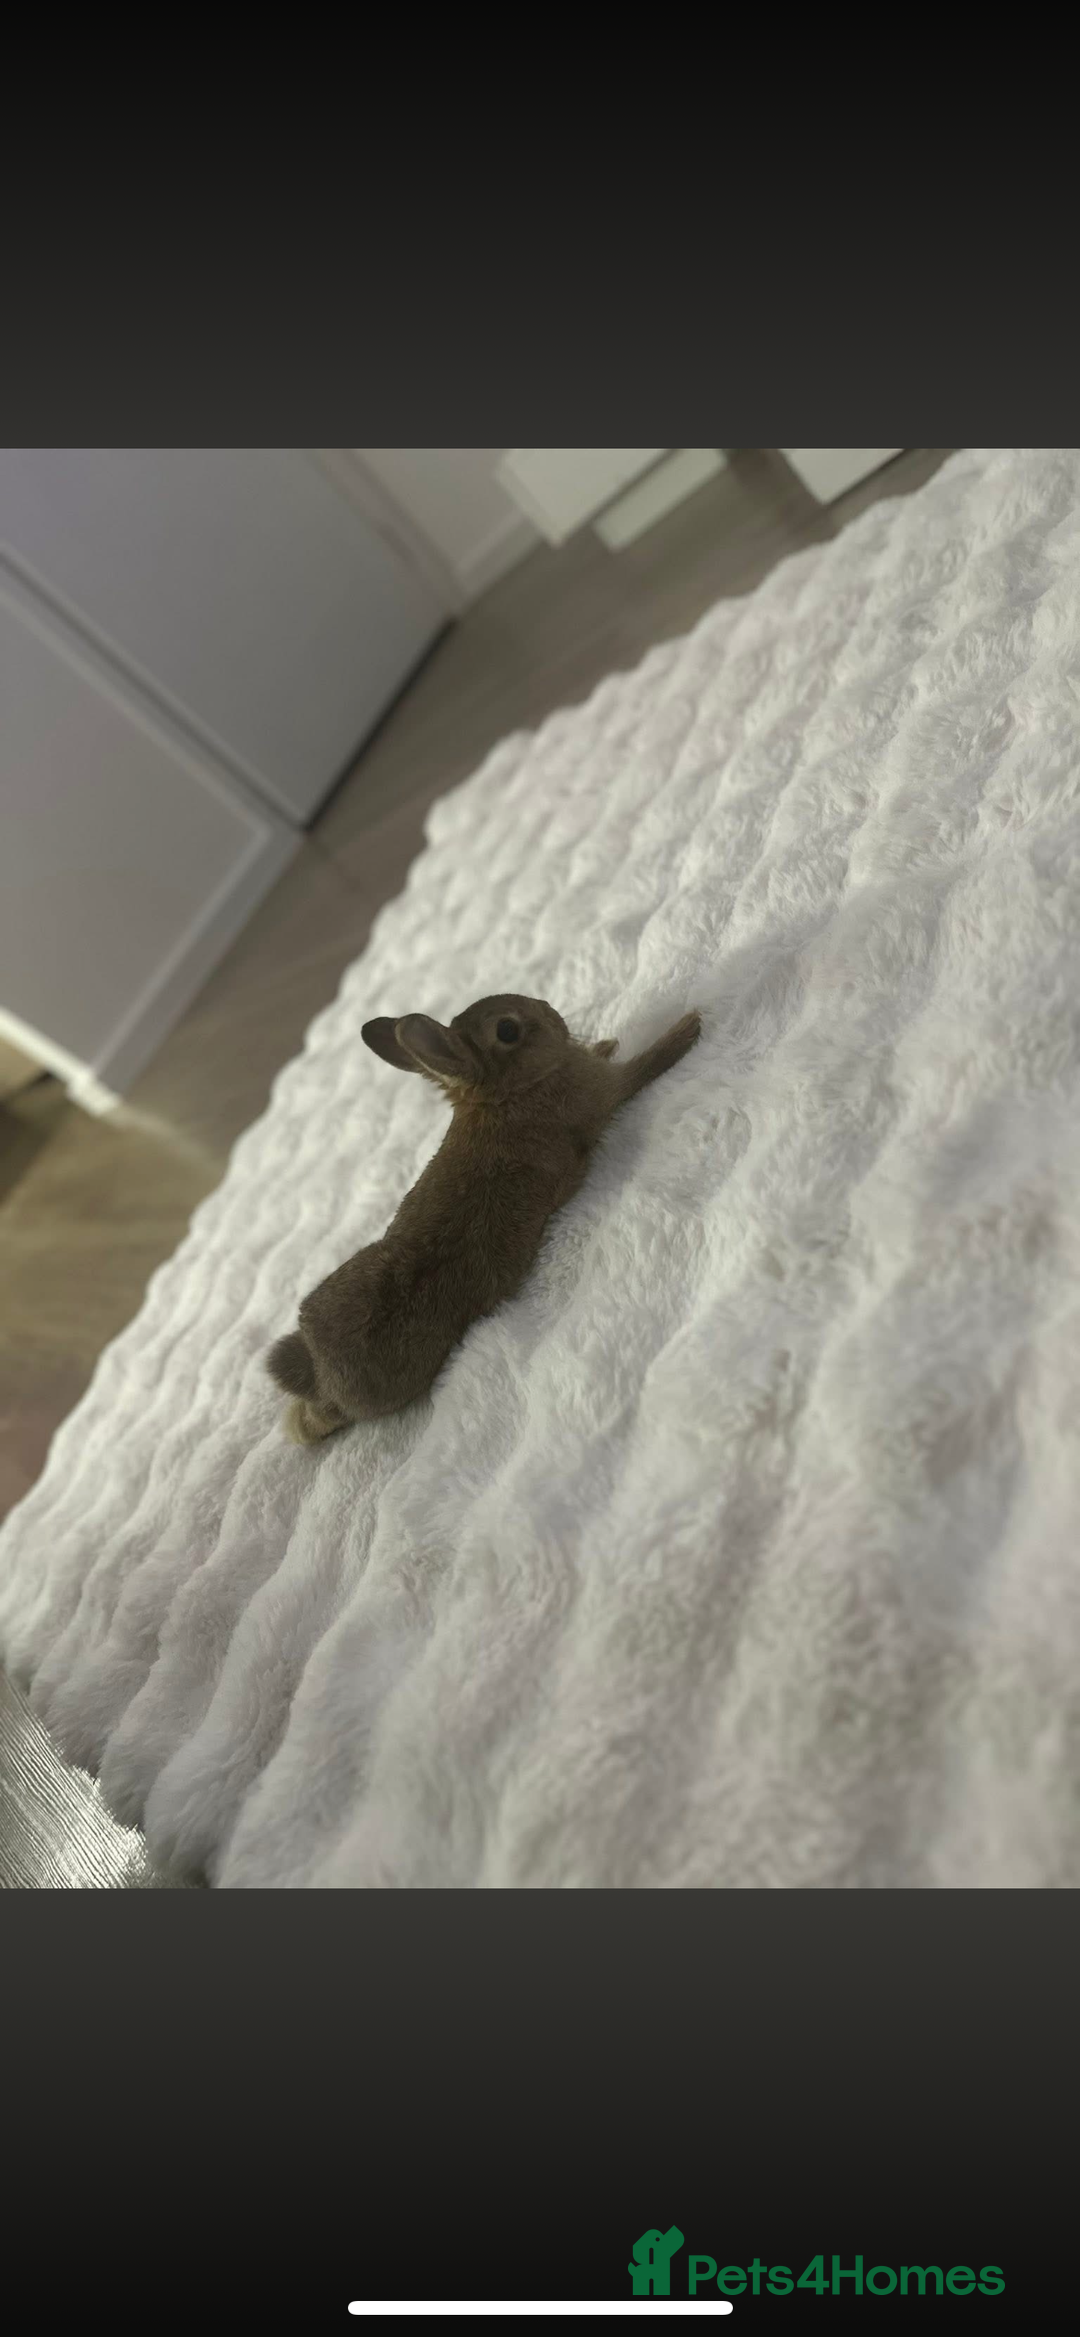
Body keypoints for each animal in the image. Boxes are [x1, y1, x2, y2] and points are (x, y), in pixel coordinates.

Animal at [266, 993, 702, 1443]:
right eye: (507, 1030)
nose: (552, 1013)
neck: (503, 1094)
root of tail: (323, 1377)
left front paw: (605, 1043)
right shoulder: (602, 1093)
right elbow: (643, 1068)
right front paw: (687, 1026)